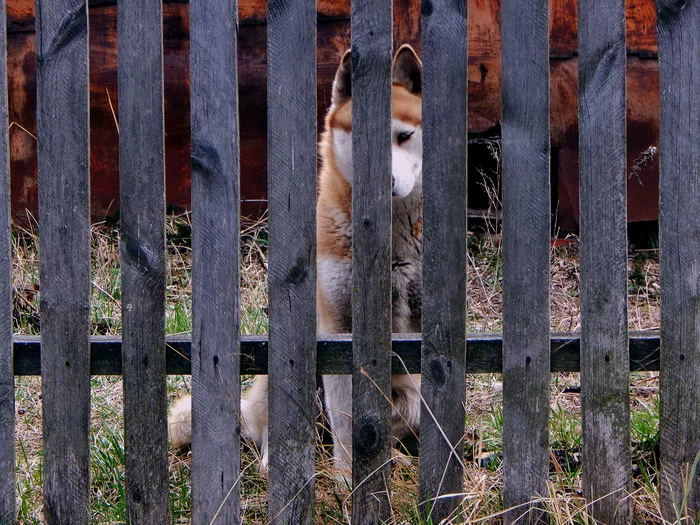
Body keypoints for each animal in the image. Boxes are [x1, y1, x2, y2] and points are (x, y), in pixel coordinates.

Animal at [168, 45, 422, 478]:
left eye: (404, 136)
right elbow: (347, 421)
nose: (385, 183)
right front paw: (347, 476)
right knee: (280, 428)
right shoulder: (337, 331)